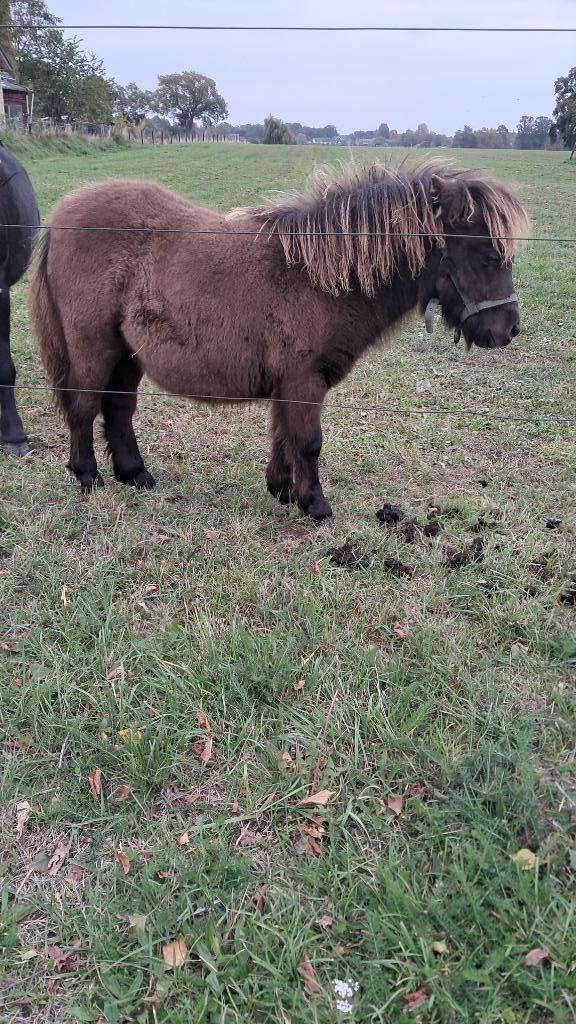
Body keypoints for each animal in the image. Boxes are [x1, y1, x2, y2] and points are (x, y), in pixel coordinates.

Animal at [29, 161, 529, 520]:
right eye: (488, 255)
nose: (508, 330)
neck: (319, 278)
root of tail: (59, 220)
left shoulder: (289, 384)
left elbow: (282, 435)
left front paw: (283, 490)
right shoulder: (304, 382)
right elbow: (307, 441)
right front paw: (316, 505)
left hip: (127, 352)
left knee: (117, 407)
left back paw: (135, 475)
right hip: (93, 345)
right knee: (83, 404)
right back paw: (88, 476)